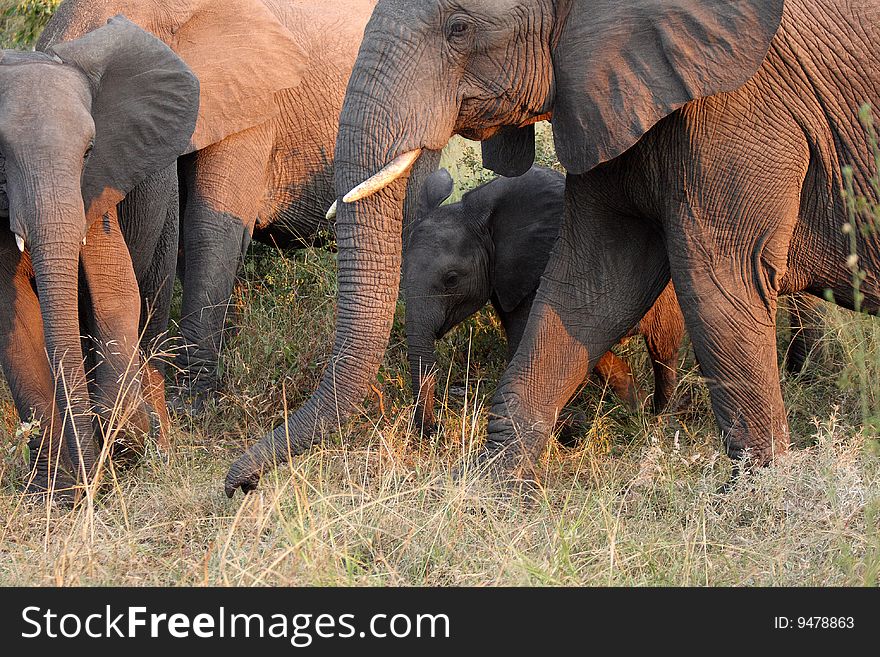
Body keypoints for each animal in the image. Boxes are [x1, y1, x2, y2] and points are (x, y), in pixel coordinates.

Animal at [0, 16, 199, 498]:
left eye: (89, 152)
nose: (94, 487)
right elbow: (14, 324)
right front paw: (60, 492)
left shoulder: (100, 191)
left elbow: (115, 293)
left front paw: (127, 436)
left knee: (149, 310)